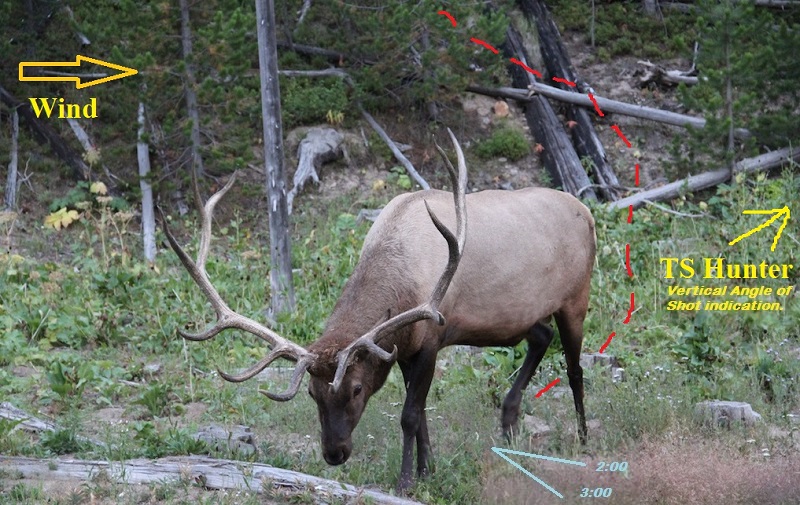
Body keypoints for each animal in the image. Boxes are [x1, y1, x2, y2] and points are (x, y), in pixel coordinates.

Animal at [161, 130, 596, 492]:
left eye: (355, 388)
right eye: (313, 394)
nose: (334, 453)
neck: (400, 278)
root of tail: (587, 210)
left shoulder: (431, 338)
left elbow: (409, 415)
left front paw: (406, 480)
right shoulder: (402, 348)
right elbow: (421, 414)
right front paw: (427, 469)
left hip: (576, 297)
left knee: (575, 369)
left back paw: (584, 439)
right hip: (524, 315)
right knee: (542, 336)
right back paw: (508, 422)